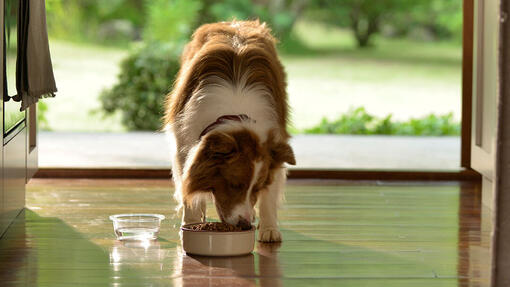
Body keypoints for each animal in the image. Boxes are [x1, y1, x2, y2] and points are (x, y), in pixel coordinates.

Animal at [164, 19, 294, 243]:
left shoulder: (275, 142)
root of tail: (235, 22)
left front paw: (269, 228)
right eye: (234, 184)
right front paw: (191, 224)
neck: (235, 114)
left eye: (257, 187)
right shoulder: (184, 142)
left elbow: (269, 195)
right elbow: (189, 187)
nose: (245, 224)